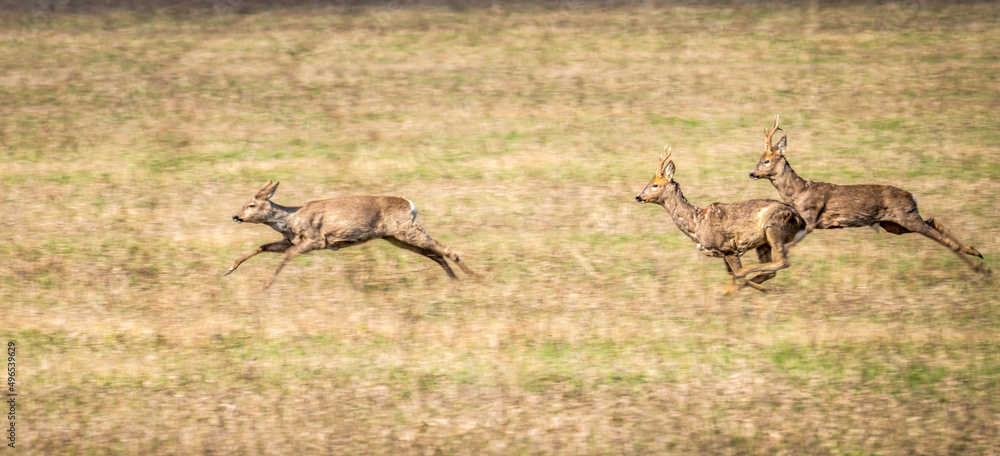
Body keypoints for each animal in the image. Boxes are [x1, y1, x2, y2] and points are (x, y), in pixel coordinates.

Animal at [226, 180, 476, 289]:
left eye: (251, 205)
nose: (235, 216)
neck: (291, 221)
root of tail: (410, 204)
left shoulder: (316, 239)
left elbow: (287, 256)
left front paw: (266, 285)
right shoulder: (288, 241)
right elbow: (262, 247)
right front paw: (230, 268)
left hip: (406, 230)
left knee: (445, 250)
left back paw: (476, 278)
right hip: (395, 237)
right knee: (435, 254)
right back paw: (456, 280)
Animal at [636, 147, 808, 294]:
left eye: (655, 185)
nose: (638, 196)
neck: (697, 223)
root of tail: (801, 222)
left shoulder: (728, 247)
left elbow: (737, 278)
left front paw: (728, 291)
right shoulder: (723, 253)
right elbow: (732, 276)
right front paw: (728, 291)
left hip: (773, 227)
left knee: (782, 261)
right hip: (763, 242)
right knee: (770, 270)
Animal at [748, 115, 991, 276]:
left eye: (766, 160)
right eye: (759, 159)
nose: (752, 173)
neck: (799, 191)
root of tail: (912, 196)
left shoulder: (810, 219)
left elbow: (785, 249)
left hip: (906, 217)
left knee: (935, 234)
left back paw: (981, 268)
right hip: (894, 224)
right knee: (933, 220)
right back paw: (976, 252)